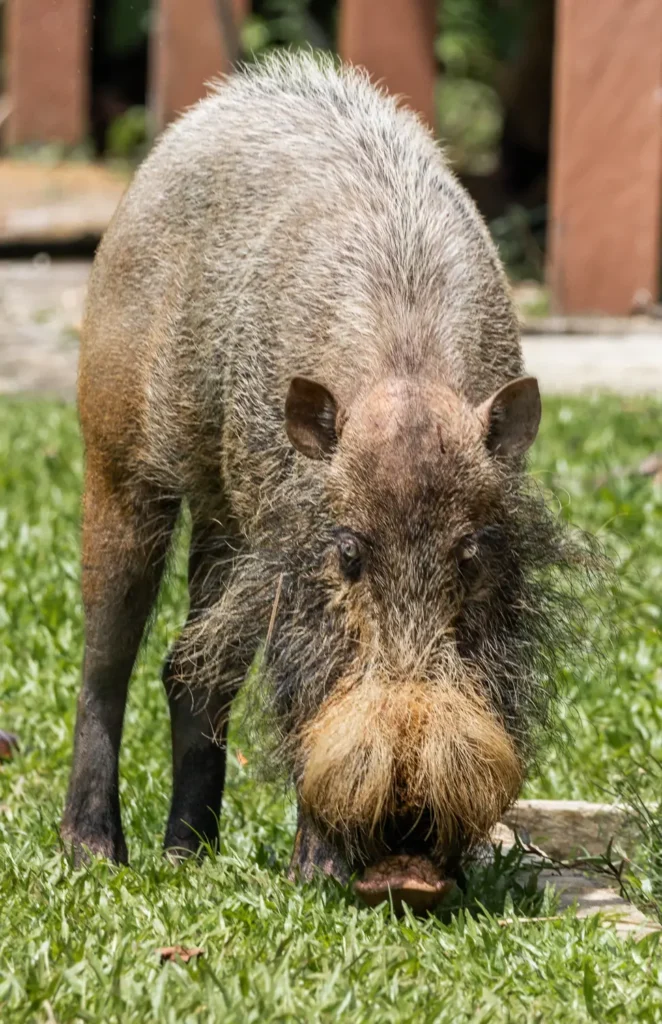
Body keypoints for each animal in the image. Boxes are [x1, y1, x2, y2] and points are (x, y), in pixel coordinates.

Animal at [62, 53, 585, 909]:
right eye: (348, 554)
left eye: (473, 554)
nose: (406, 858)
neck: (405, 366)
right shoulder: (293, 547)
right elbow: (304, 682)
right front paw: (316, 872)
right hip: (116, 455)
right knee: (108, 660)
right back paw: (94, 850)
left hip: (224, 513)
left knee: (191, 667)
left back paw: (189, 851)